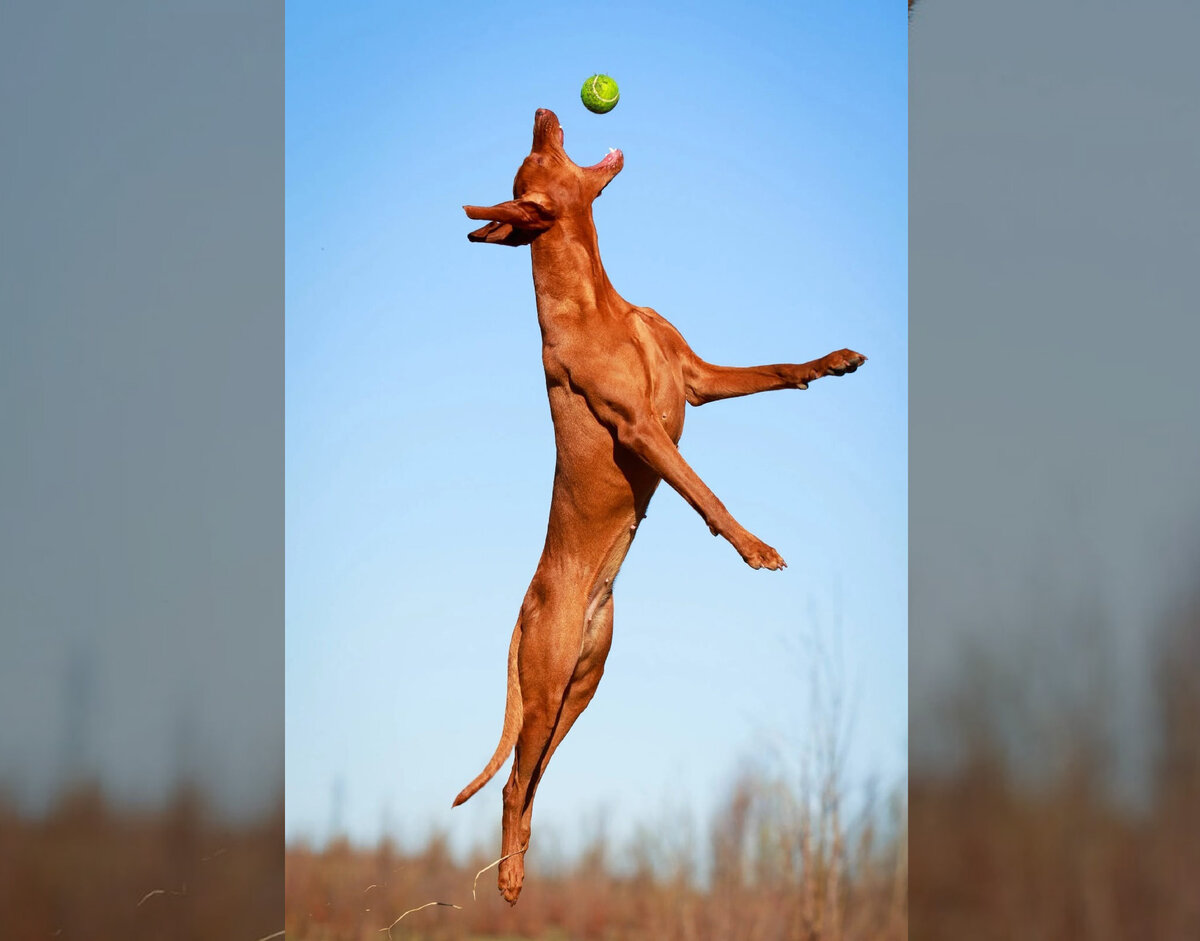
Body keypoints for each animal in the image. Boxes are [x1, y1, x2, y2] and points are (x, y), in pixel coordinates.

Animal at [456, 106, 864, 902]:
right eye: (537, 154)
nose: (543, 110)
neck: (598, 299)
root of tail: (524, 607)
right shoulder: (642, 428)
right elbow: (706, 489)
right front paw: (754, 547)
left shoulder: (696, 379)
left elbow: (775, 369)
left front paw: (830, 362)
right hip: (546, 685)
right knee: (514, 782)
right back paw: (510, 877)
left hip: (578, 687)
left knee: (533, 776)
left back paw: (521, 858)